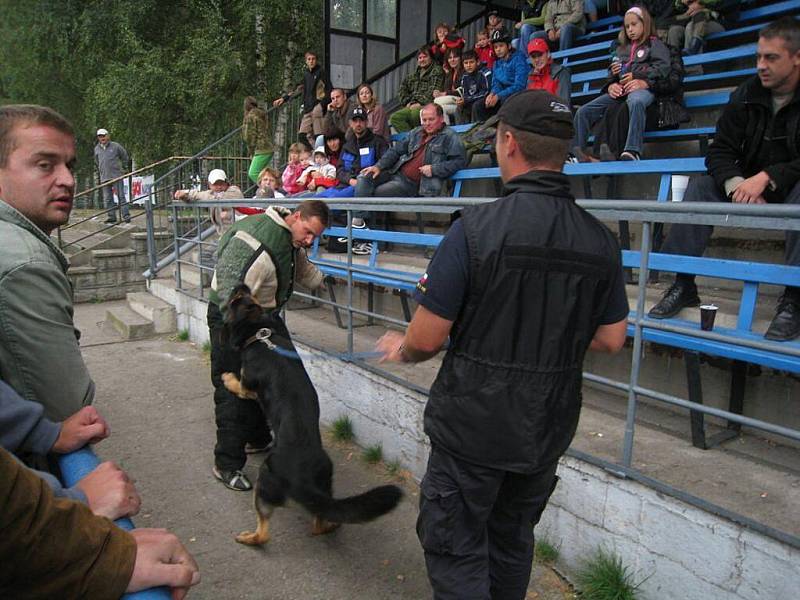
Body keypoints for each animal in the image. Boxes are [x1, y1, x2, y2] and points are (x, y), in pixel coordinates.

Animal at [222, 284, 404, 548]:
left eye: (236, 298)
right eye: (246, 295)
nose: (241, 285)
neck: (261, 334)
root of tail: (302, 478)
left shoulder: (248, 387)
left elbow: (237, 384)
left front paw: (227, 378)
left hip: (264, 481)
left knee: (264, 531)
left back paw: (249, 538)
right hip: (324, 483)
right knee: (319, 522)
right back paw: (331, 525)